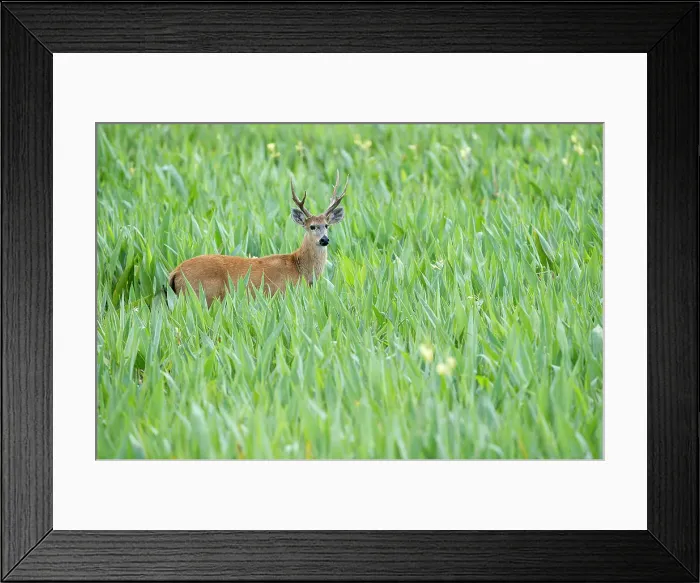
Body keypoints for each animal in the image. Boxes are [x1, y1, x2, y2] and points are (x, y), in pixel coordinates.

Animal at [167, 171, 348, 306]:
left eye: (327, 225)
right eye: (312, 226)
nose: (324, 240)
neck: (300, 269)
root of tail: (174, 272)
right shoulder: (281, 294)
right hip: (201, 296)